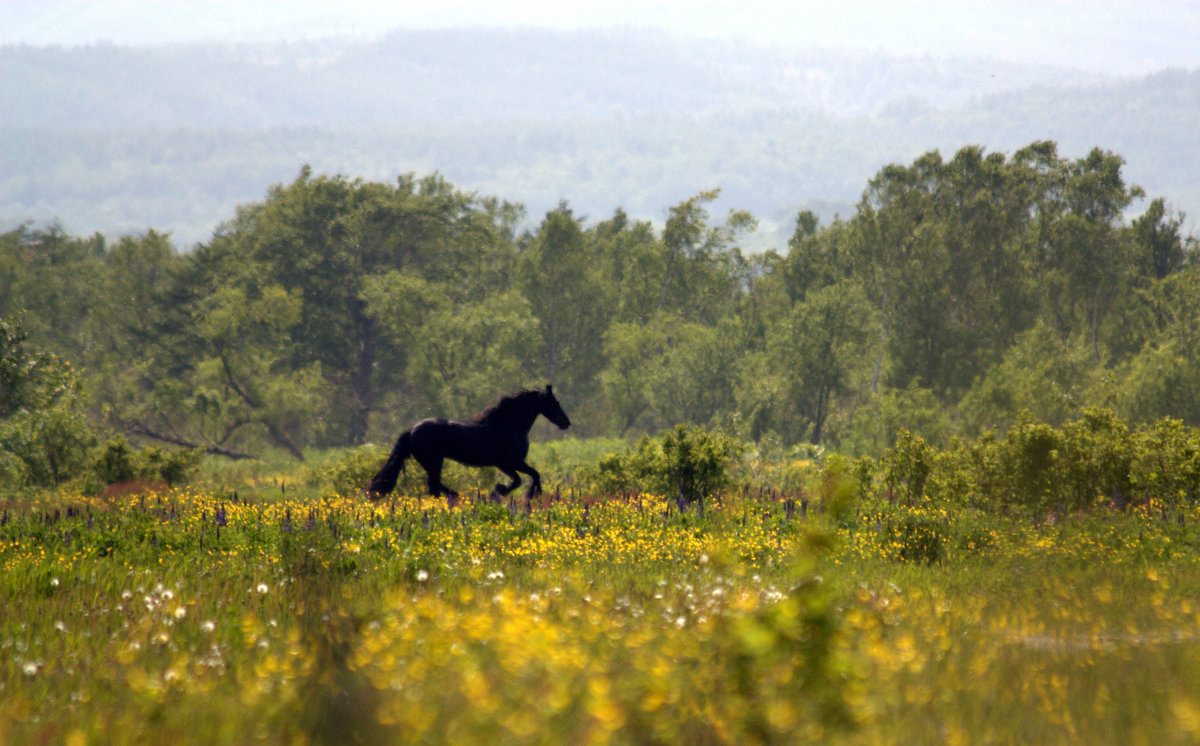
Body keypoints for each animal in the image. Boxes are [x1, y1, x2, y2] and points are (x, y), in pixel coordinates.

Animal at [364, 386, 571, 503]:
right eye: (555, 402)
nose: (566, 423)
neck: (508, 426)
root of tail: (412, 429)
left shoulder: (509, 464)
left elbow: (531, 476)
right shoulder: (508, 463)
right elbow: (525, 478)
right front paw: (504, 492)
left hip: (431, 462)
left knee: (434, 485)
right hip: (434, 461)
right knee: (434, 485)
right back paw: (452, 498)